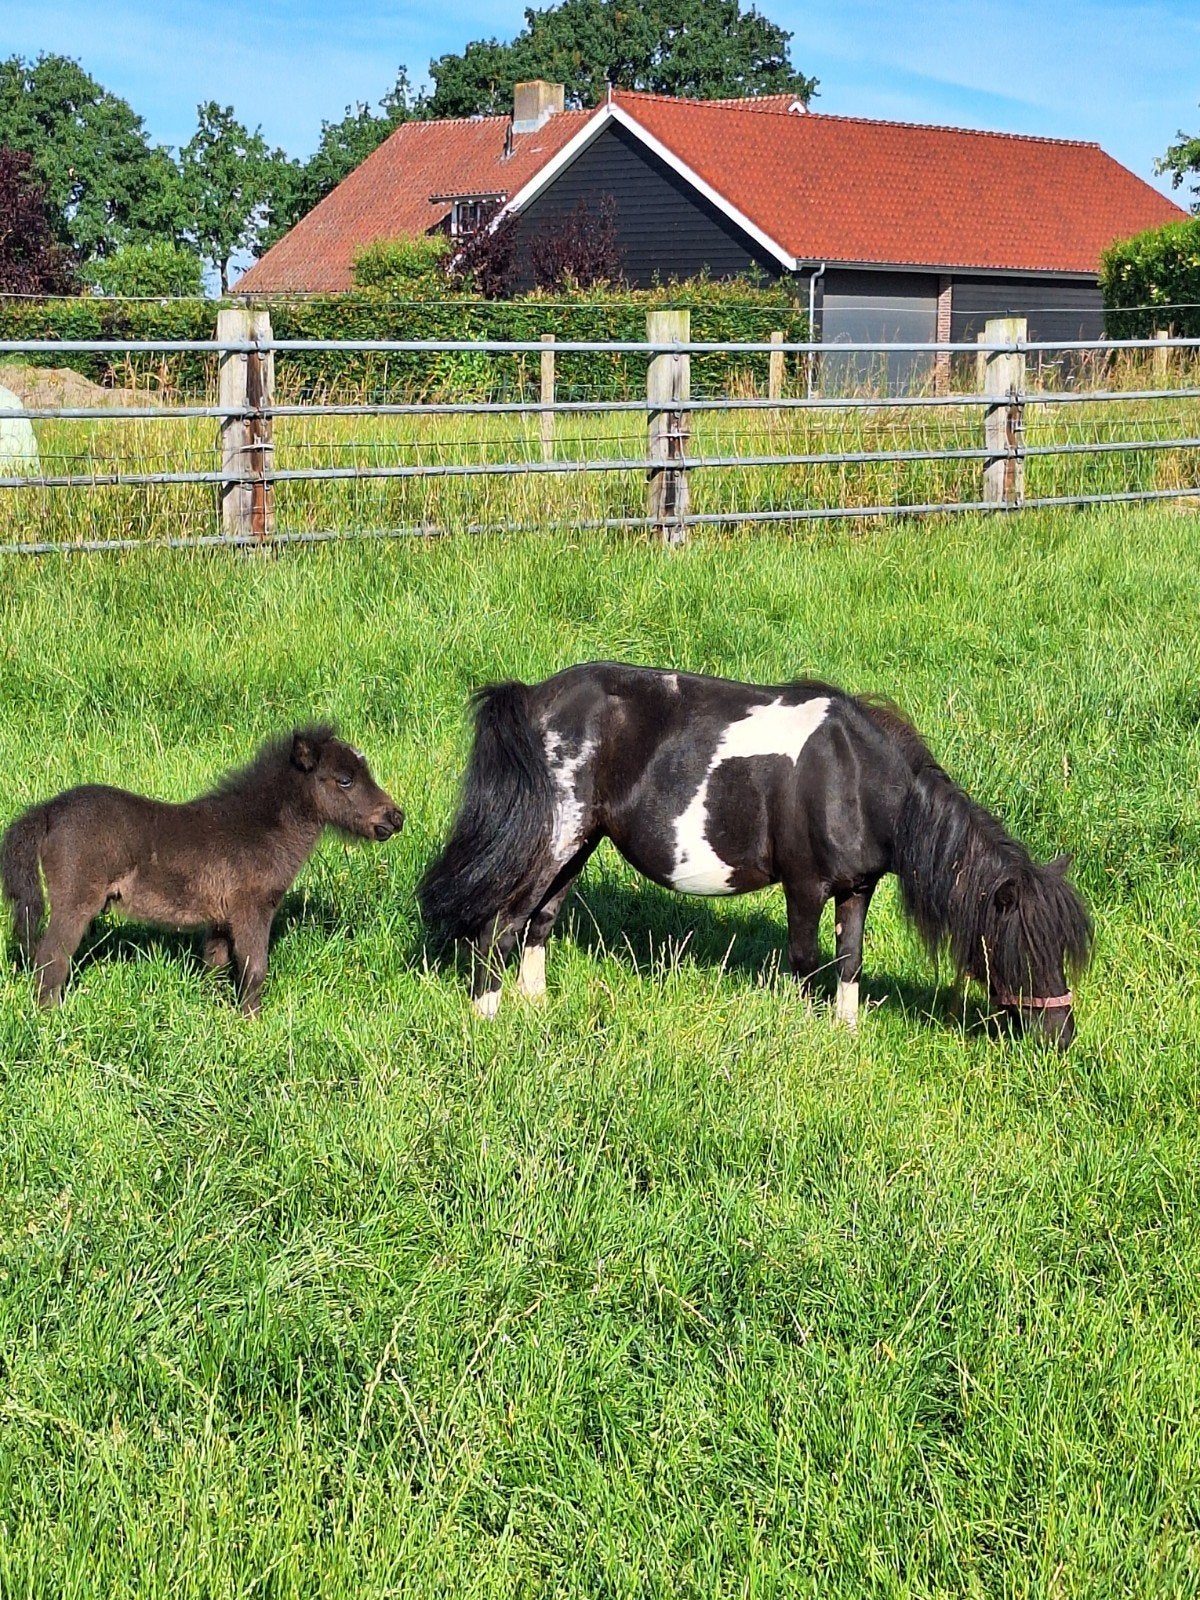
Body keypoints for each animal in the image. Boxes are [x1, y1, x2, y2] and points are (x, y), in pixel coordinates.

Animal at [1, 727, 404, 1012]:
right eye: (345, 779)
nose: (395, 818)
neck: (260, 828)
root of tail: (50, 810)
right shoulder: (252, 909)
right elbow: (254, 968)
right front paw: (252, 1022)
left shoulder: (220, 918)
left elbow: (216, 965)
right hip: (75, 904)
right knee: (51, 960)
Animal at [417, 663, 1092, 1047]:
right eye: (1025, 948)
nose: (1062, 1036)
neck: (851, 775)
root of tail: (535, 698)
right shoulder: (805, 887)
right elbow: (806, 963)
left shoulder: (857, 888)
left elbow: (849, 962)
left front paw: (846, 1034)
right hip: (553, 842)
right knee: (501, 926)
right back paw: (487, 1018)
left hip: (578, 845)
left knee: (540, 922)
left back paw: (536, 1007)